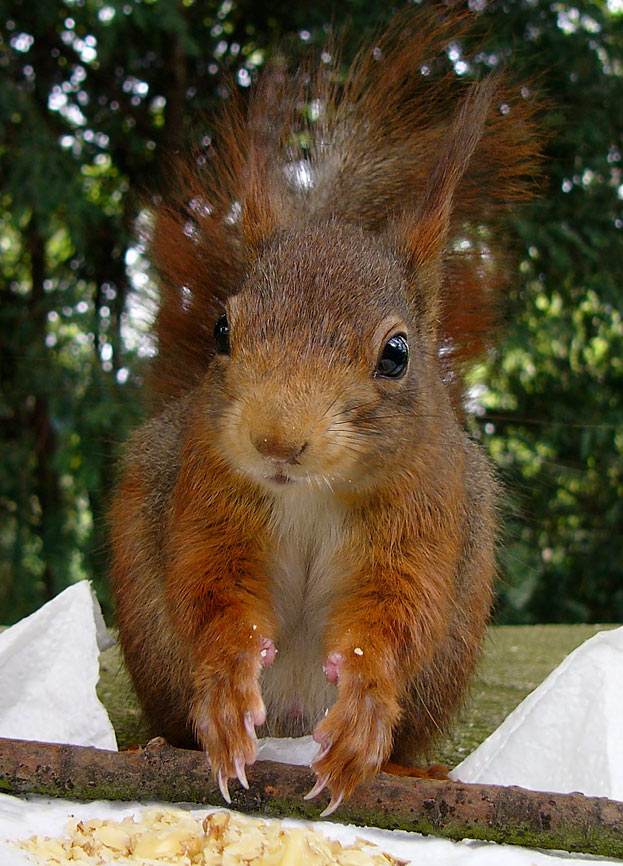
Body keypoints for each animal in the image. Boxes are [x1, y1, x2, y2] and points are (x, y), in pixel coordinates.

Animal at [109, 8, 540, 816]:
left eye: (397, 353)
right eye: (222, 329)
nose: (276, 441)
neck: (310, 494)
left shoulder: (420, 512)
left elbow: (396, 613)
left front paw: (365, 703)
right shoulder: (209, 492)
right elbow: (212, 590)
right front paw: (225, 688)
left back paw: (409, 769)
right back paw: (160, 743)